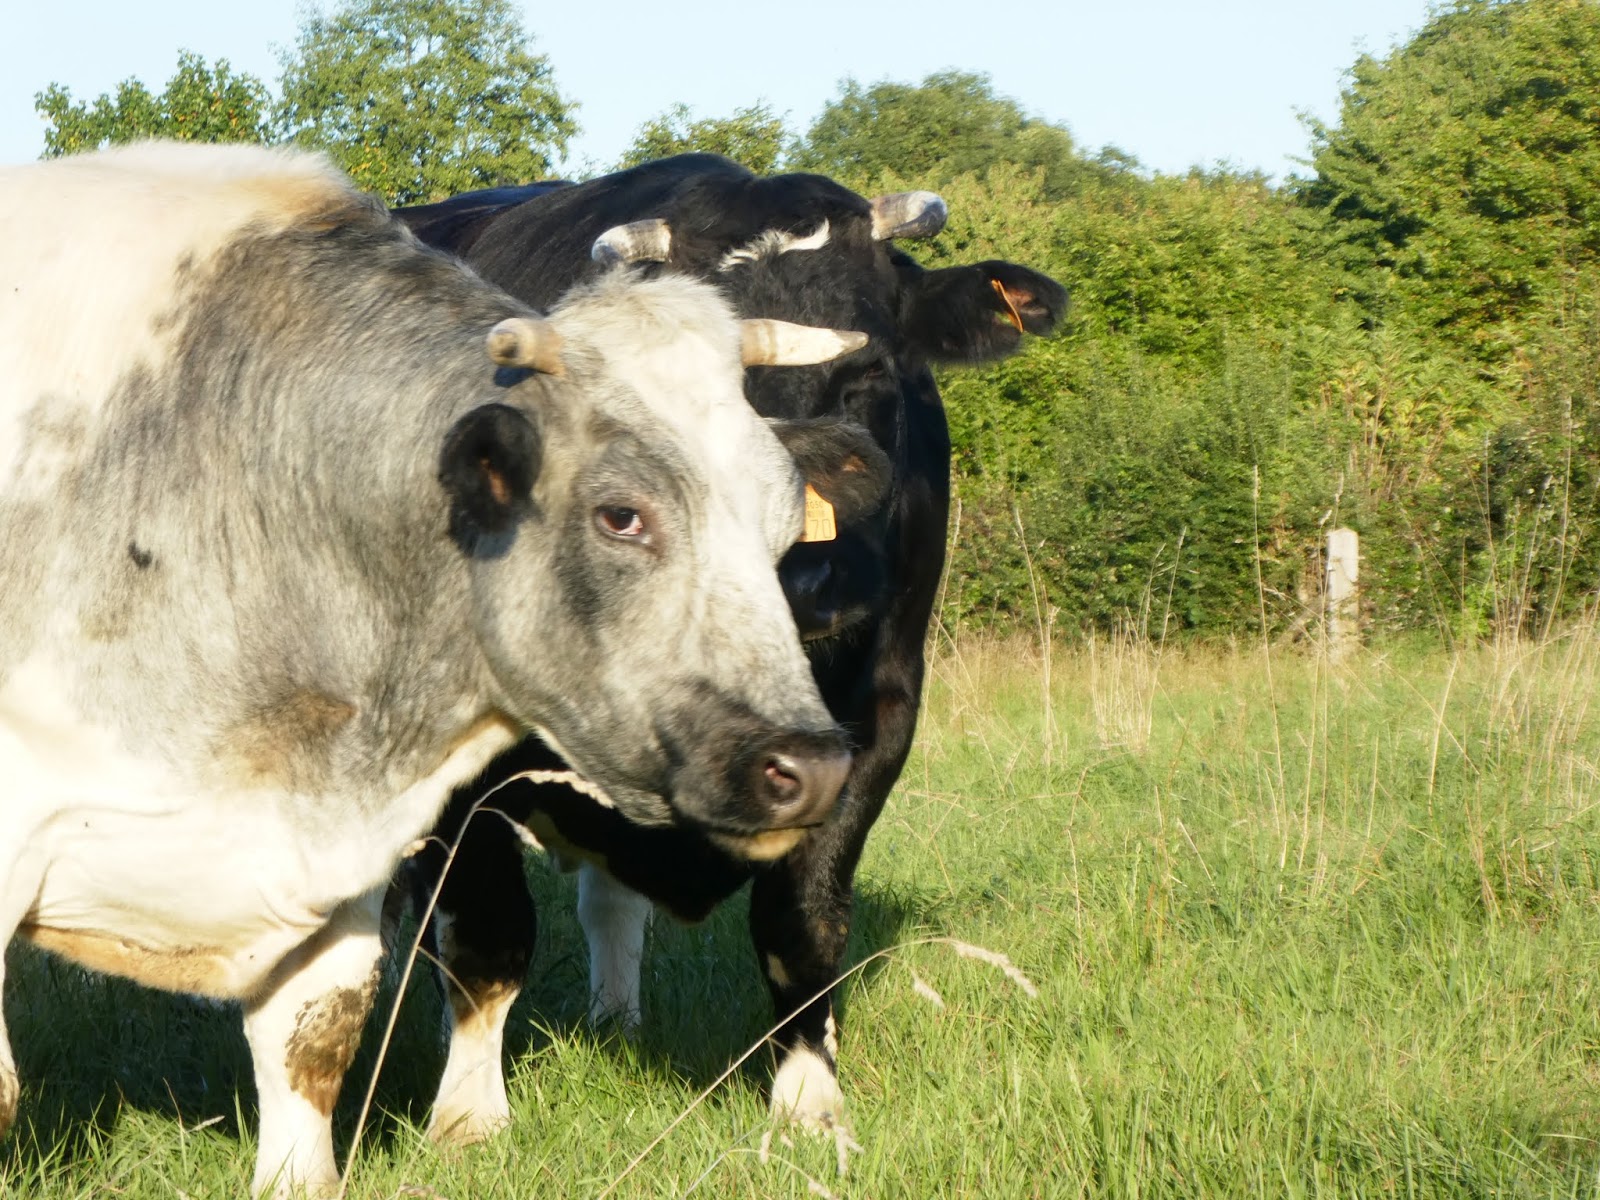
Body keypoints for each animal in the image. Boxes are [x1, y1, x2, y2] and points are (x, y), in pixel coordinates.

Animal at [393, 153, 1068, 1144]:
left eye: (877, 372)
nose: (811, 584)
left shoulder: (878, 718)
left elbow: (804, 923)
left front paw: (810, 1107)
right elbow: (486, 931)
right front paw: (469, 1118)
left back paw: (617, 1017)